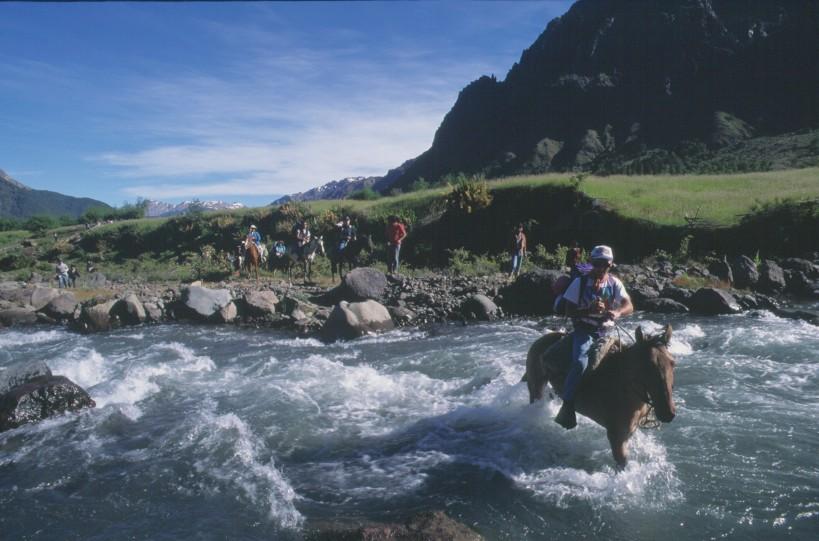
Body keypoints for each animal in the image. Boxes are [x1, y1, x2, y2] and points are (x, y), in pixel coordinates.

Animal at [524, 324, 680, 468]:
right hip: (536, 387)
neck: (623, 386)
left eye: (673, 363)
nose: (668, 413)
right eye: (648, 365)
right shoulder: (616, 437)